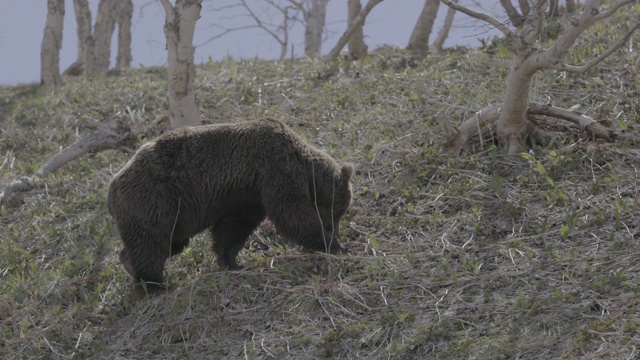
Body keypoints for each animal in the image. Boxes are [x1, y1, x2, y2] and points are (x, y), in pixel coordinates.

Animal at [107, 118, 352, 292]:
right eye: (338, 212)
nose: (335, 231)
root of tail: (113, 184)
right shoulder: (275, 168)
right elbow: (292, 212)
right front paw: (333, 246)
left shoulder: (247, 196)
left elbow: (232, 229)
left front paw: (232, 262)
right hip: (156, 198)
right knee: (151, 241)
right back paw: (154, 283)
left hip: (173, 216)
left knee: (167, 242)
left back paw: (130, 264)